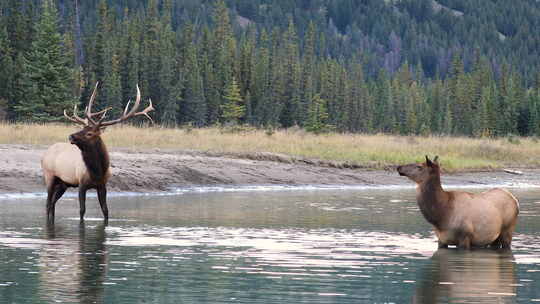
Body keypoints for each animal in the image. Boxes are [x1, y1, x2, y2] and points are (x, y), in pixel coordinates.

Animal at [40, 83, 152, 223]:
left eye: (89, 133)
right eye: (82, 128)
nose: (71, 136)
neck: (97, 171)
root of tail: (45, 153)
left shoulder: (102, 185)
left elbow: (105, 210)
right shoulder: (81, 184)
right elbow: (82, 211)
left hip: (63, 184)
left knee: (53, 204)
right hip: (49, 176)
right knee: (48, 203)